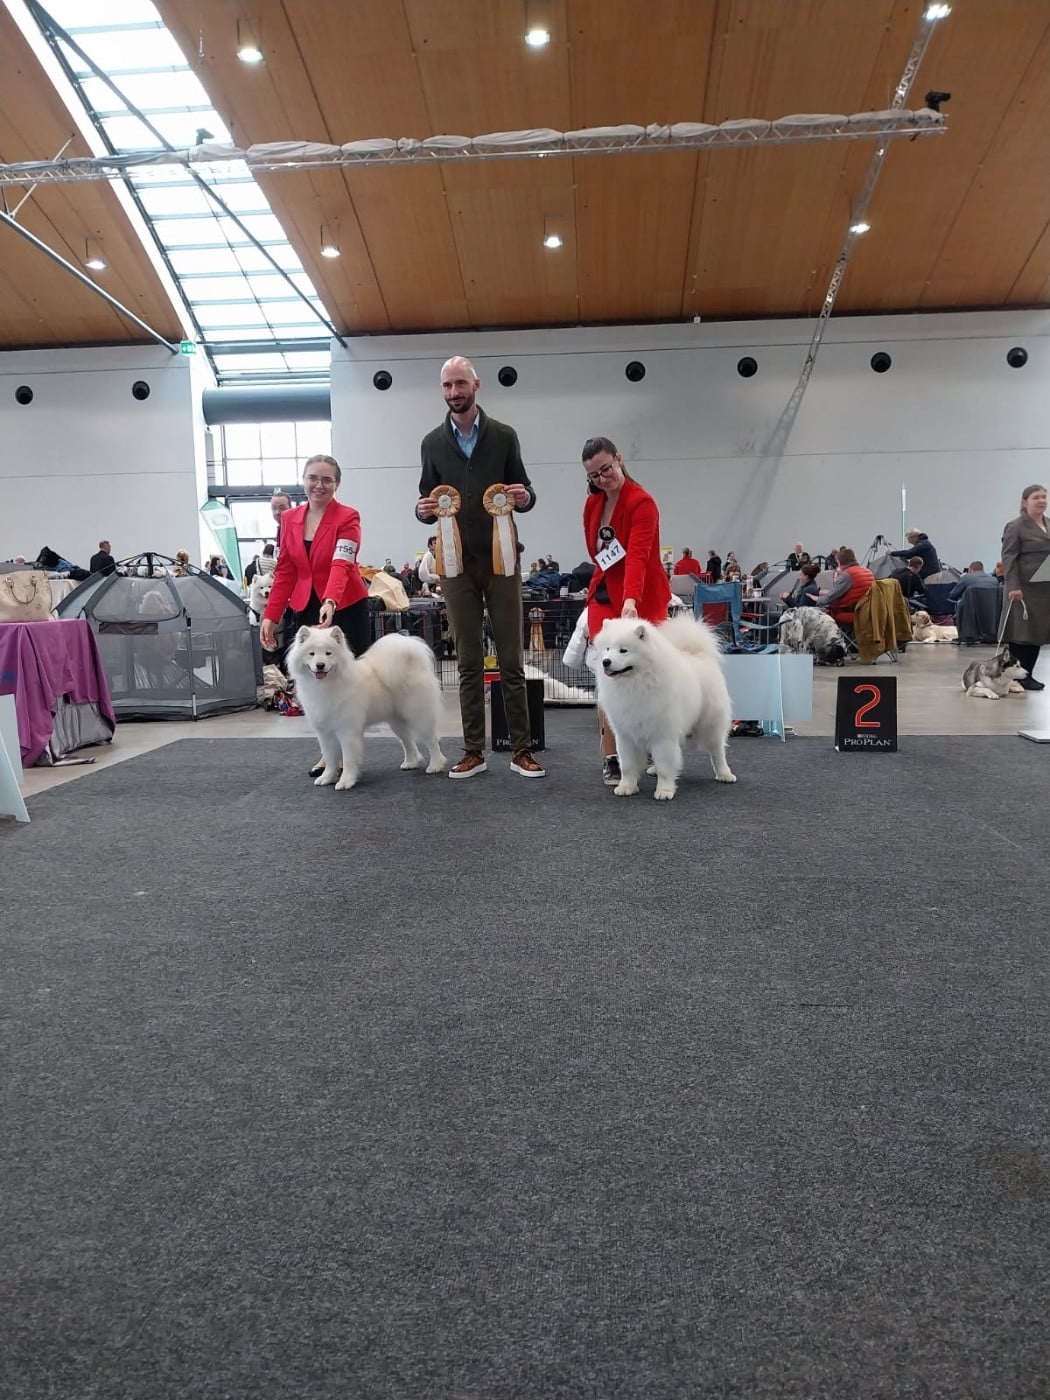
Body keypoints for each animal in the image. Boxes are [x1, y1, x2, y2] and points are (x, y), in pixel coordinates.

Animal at [286, 625, 446, 788]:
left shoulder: (347, 731)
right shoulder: (324, 732)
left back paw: (435, 766)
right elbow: (330, 758)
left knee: (432, 741)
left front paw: (346, 781)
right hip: (397, 722)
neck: (326, 685)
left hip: (420, 717)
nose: (320, 665)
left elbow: (348, 759)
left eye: (328, 653)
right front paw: (327, 778)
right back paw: (411, 762)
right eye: (311, 653)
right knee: (408, 741)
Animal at [594, 614, 736, 800]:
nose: (606, 662)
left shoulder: (663, 734)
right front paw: (626, 787)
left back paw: (725, 774)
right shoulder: (626, 734)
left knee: (717, 751)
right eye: (608, 649)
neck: (636, 683)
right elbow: (628, 765)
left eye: (623, 650)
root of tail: (697, 654)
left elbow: (665, 765)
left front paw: (664, 790)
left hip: (710, 724)